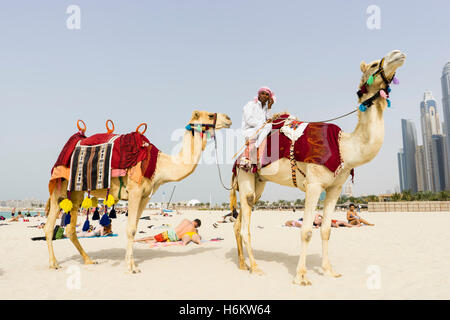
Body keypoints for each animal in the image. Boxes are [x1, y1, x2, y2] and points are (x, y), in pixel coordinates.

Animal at [44, 110, 232, 272]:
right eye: (210, 115)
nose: (229, 118)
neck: (159, 166)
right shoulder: (134, 191)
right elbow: (131, 229)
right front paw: (131, 267)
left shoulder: (145, 196)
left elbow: (134, 228)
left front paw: (131, 263)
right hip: (60, 185)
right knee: (49, 225)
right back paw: (54, 263)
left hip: (76, 192)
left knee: (70, 228)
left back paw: (89, 260)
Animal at [230, 49, 406, 284]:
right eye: (373, 64)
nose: (398, 53)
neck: (344, 147)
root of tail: (238, 157)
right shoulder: (313, 185)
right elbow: (306, 231)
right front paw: (301, 276)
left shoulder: (335, 188)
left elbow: (326, 230)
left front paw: (329, 270)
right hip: (245, 173)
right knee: (245, 221)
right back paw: (256, 268)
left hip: (259, 181)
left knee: (239, 220)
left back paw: (243, 265)